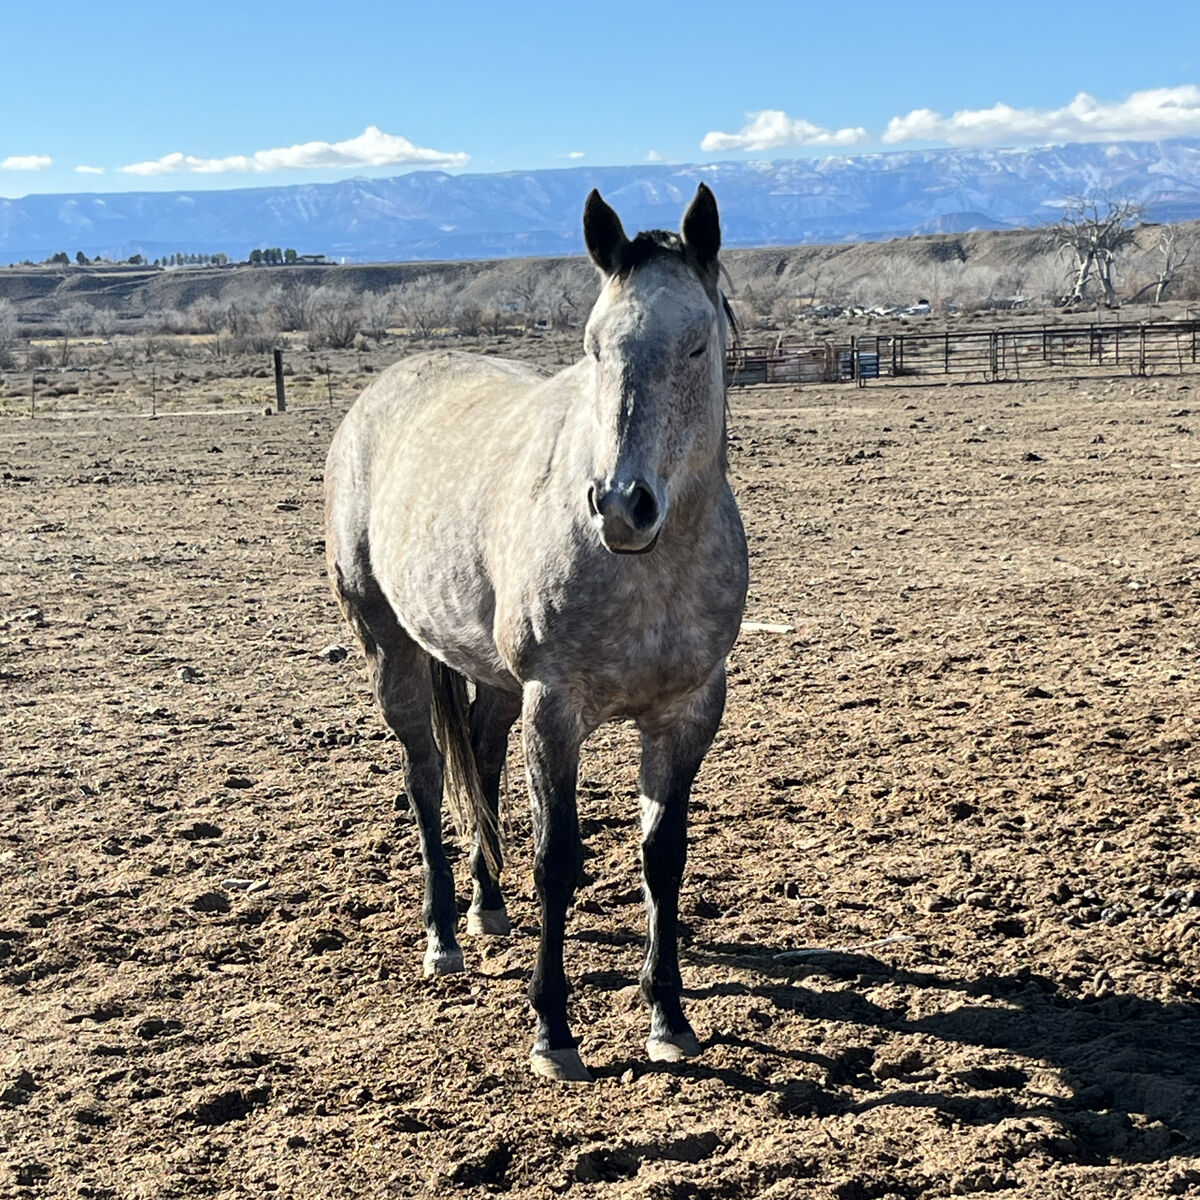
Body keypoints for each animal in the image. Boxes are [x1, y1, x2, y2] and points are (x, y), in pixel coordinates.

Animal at [324, 184, 748, 1082]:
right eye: (593, 347)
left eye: (697, 344)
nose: (621, 506)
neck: (647, 568)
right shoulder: (555, 709)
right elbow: (557, 859)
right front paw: (553, 1030)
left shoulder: (689, 710)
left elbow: (663, 856)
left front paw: (669, 1018)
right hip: (390, 648)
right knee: (424, 779)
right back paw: (443, 936)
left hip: (488, 674)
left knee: (478, 760)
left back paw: (487, 907)